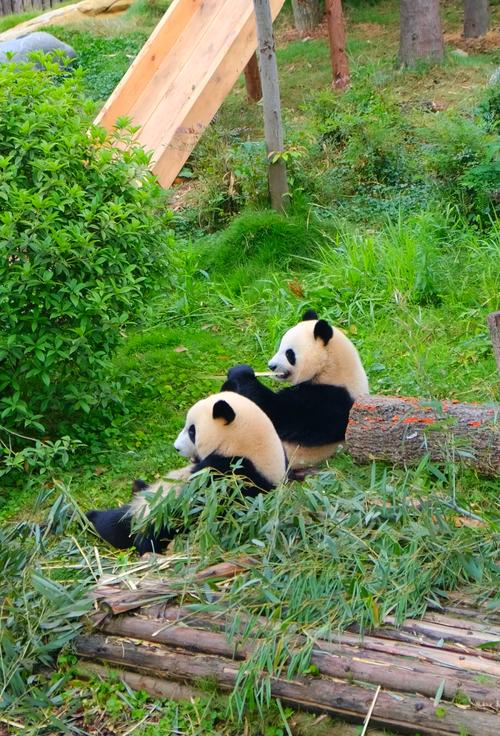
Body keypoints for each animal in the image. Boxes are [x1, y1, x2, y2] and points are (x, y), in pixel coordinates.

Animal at [221, 310, 368, 470]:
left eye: (289, 354)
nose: (271, 366)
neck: (330, 368)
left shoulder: (332, 398)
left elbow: (280, 413)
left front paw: (241, 373)